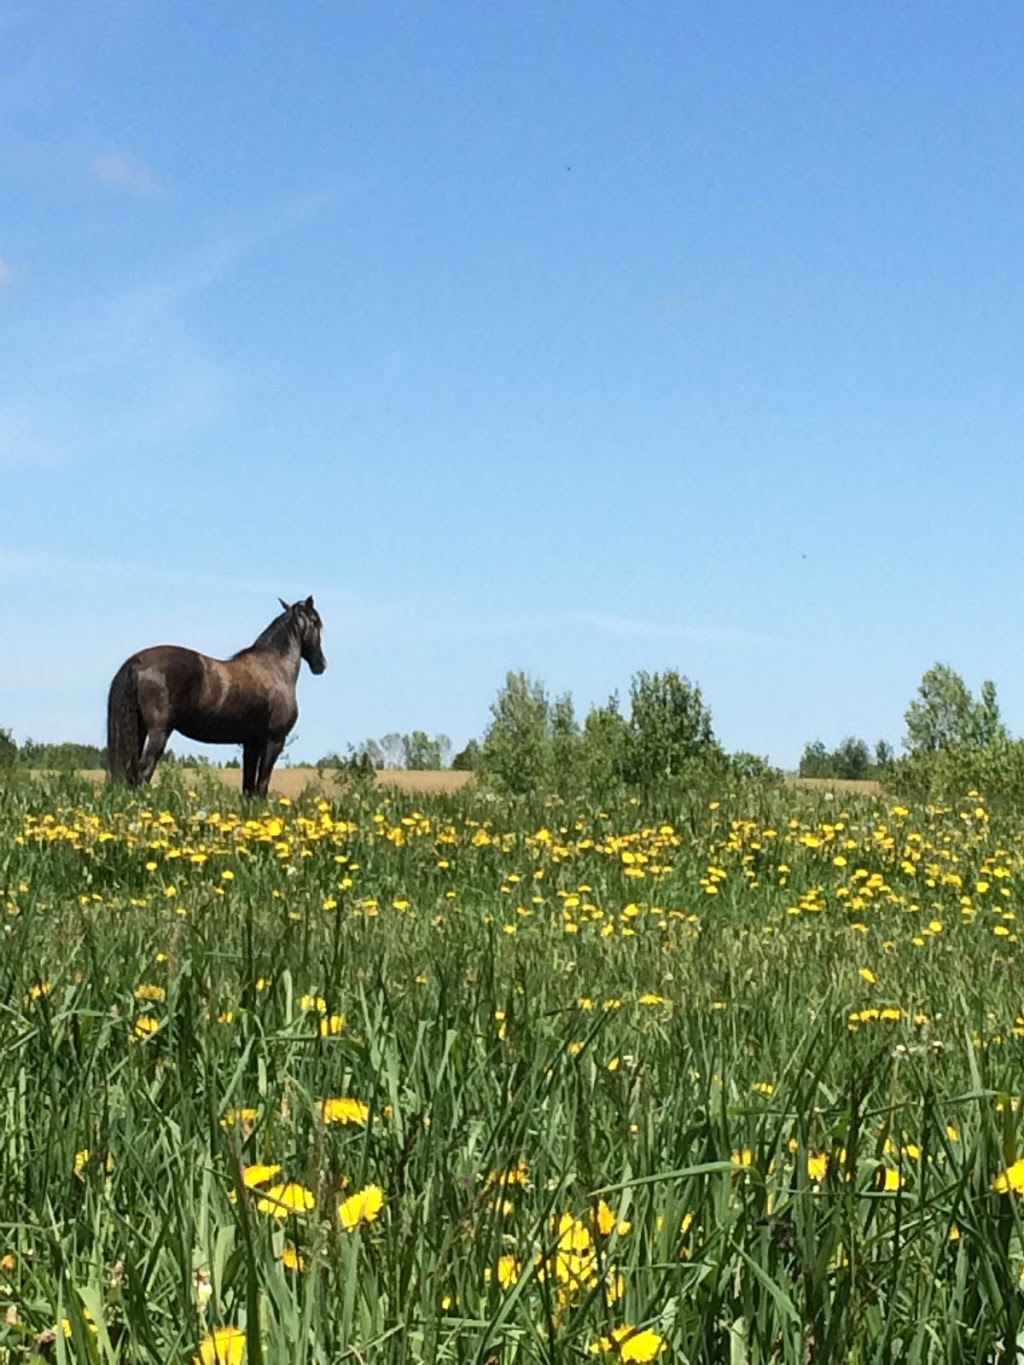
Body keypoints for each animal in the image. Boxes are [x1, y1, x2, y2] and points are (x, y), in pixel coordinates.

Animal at [108, 595, 326, 797]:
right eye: (316, 622)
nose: (321, 665)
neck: (274, 667)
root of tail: (138, 660)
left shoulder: (251, 742)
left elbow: (248, 787)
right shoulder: (274, 740)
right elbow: (261, 785)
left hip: (140, 729)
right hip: (159, 732)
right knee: (144, 769)